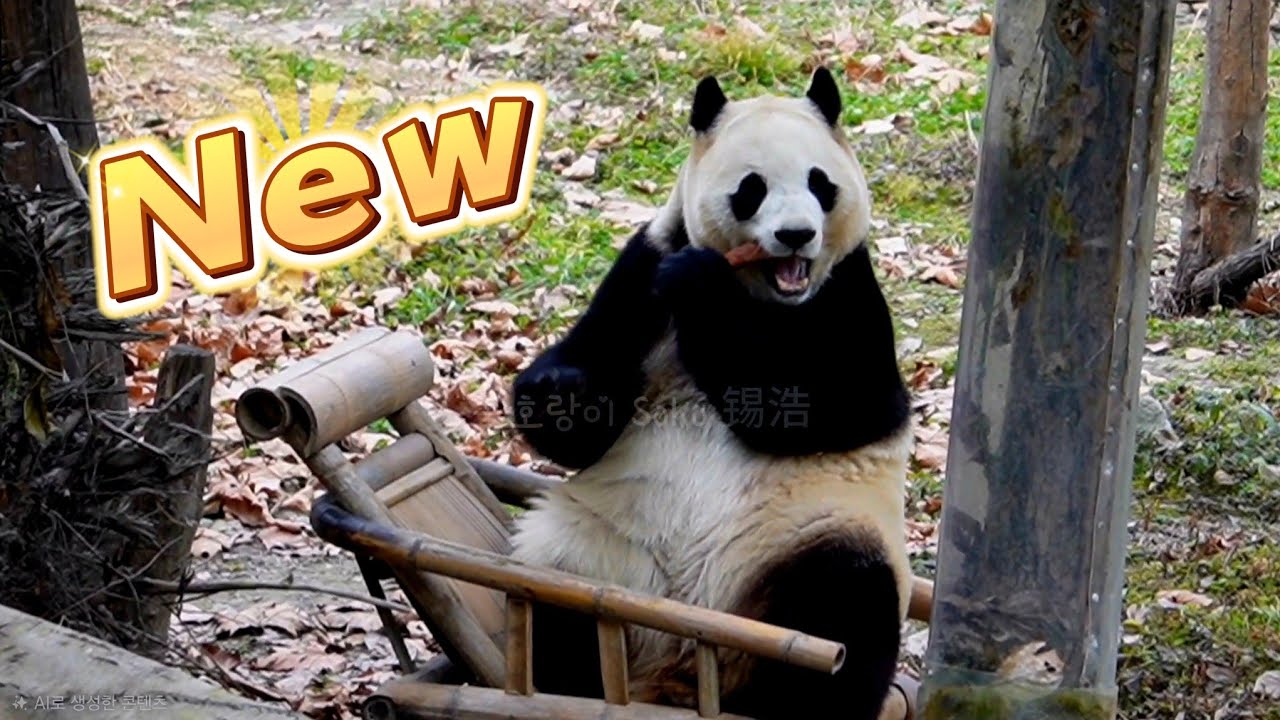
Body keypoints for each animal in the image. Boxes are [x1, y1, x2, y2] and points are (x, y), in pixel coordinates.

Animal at [507, 66, 914, 720]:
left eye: (819, 182)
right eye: (752, 188)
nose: (796, 235)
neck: (766, 295)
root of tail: (685, 659)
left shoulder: (848, 290)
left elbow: (843, 405)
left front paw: (701, 287)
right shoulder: (643, 265)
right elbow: (584, 410)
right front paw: (558, 393)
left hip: (811, 530)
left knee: (846, 603)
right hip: (600, 548)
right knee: (555, 598)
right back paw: (567, 681)